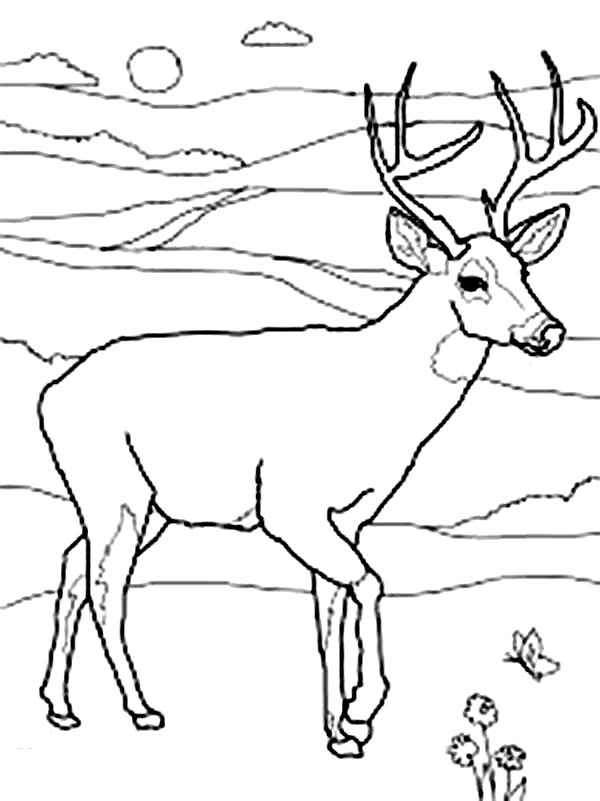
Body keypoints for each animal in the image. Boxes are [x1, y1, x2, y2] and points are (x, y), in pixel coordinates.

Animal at [37, 52, 596, 758]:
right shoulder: (289, 503)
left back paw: (59, 707)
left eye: (525, 270)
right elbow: (370, 583)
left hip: (141, 501)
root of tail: (50, 396)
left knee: (71, 567)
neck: (376, 397)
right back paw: (141, 709)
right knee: (106, 584)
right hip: (115, 487)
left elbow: (329, 609)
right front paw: (364, 707)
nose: (548, 330)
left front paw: (340, 731)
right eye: (472, 280)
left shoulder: (347, 515)